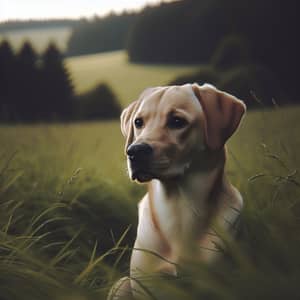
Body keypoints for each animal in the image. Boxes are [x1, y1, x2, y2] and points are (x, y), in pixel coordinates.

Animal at [108, 82, 246, 300]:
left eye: (177, 121)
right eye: (138, 122)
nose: (134, 151)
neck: (178, 207)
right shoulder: (146, 283)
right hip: (121, 285)